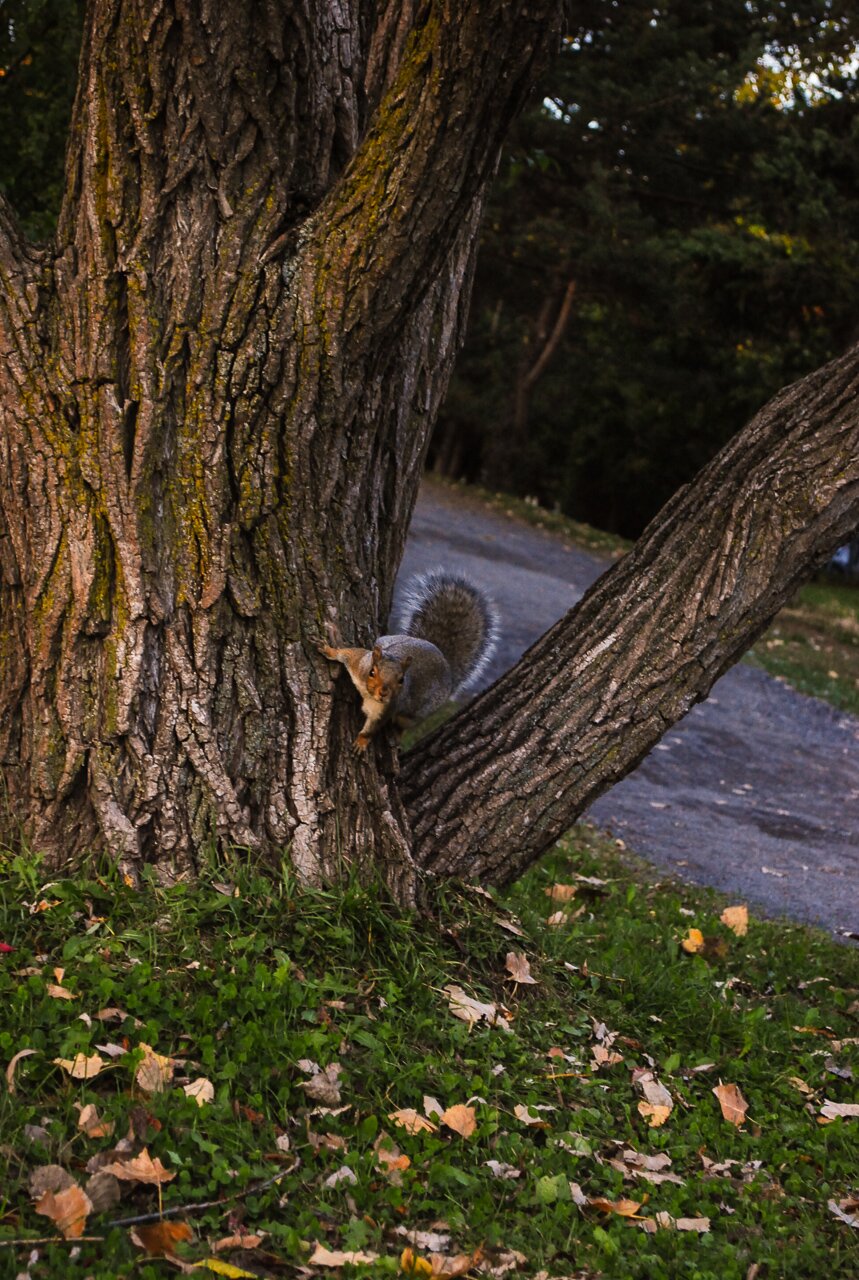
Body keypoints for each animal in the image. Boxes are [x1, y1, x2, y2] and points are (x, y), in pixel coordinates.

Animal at [317, 570, 499, 755]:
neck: (368, 693)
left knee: (404, 724)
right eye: (372, 672)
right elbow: (347, 653)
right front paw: (329, 650)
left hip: (415, 714)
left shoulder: (387, 707)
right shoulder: (360, 663)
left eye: (401, 680)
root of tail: (446, 665)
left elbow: (373, 727)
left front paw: (362, 741)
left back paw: (397, 736)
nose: (383, 693)